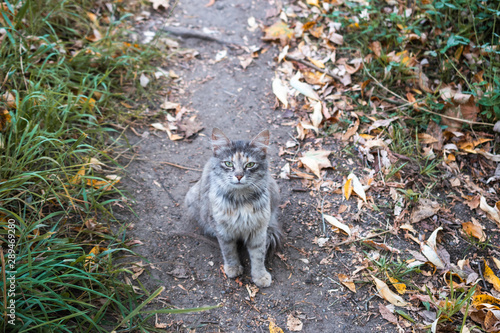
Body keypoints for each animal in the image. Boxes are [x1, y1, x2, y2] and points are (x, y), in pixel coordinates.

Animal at [186, 128, 284, 286]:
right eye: (228, 163)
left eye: (250, 164)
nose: (238, 176)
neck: (241, 201)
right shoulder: (223, 231)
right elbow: (229, 252)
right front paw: (233, 268)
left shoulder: (258, 231)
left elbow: (258, 256)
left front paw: (260, 276)